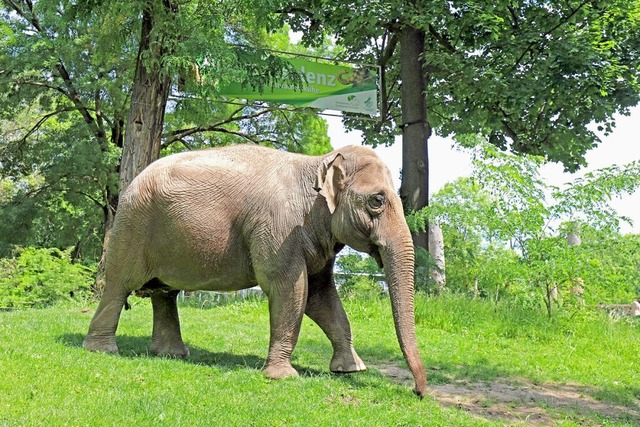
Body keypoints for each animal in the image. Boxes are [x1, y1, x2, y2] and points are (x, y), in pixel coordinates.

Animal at [82, 144, 428, 398]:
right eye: (377, 201)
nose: (418, 392)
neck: (317, 163)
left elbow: (321, 296)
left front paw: (351, 370)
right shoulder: (278, 229)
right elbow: (290, 288)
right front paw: (283, 377)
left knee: (165, 294)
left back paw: (172, 355)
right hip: (132, 228)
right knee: (118, 287)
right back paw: (102, 350)